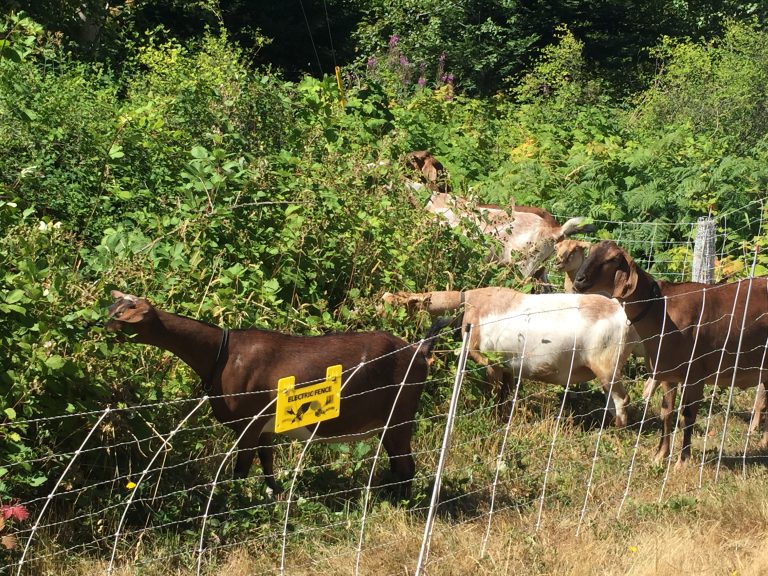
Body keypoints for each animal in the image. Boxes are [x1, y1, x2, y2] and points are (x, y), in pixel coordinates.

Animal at [105, 292, 438, 496]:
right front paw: (273, 496)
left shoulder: (249, 424)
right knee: (397, 463)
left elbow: (241, 470)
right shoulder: (266, 427)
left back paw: (399, 503)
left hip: (400, 413)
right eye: (113, 309)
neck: (222, 353)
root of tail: (419, 350)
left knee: (406, 465)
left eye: (122, 315)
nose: (100, 327)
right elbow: (267, 463)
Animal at [382, 286, 636, 426]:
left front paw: (491, 419)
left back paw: (617, 431)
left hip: (606, 365)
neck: (474, 303)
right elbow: (507, 395)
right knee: (612, 400)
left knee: (622, 399)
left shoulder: (489, 361)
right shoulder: (508, 367)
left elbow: (495, 394)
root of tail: (622, 315)